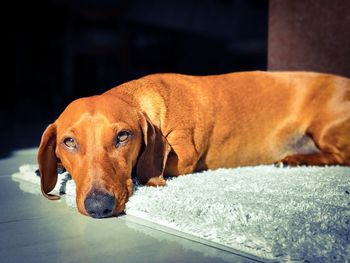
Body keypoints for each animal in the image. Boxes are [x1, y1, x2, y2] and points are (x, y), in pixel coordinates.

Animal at [37, 70, 350, 219]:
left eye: (122, 136)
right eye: (68, 142)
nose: (99, 207)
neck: (140, 97)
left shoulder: (185, 157)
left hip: (326, 129)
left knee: (340, 156)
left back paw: (295, 159)